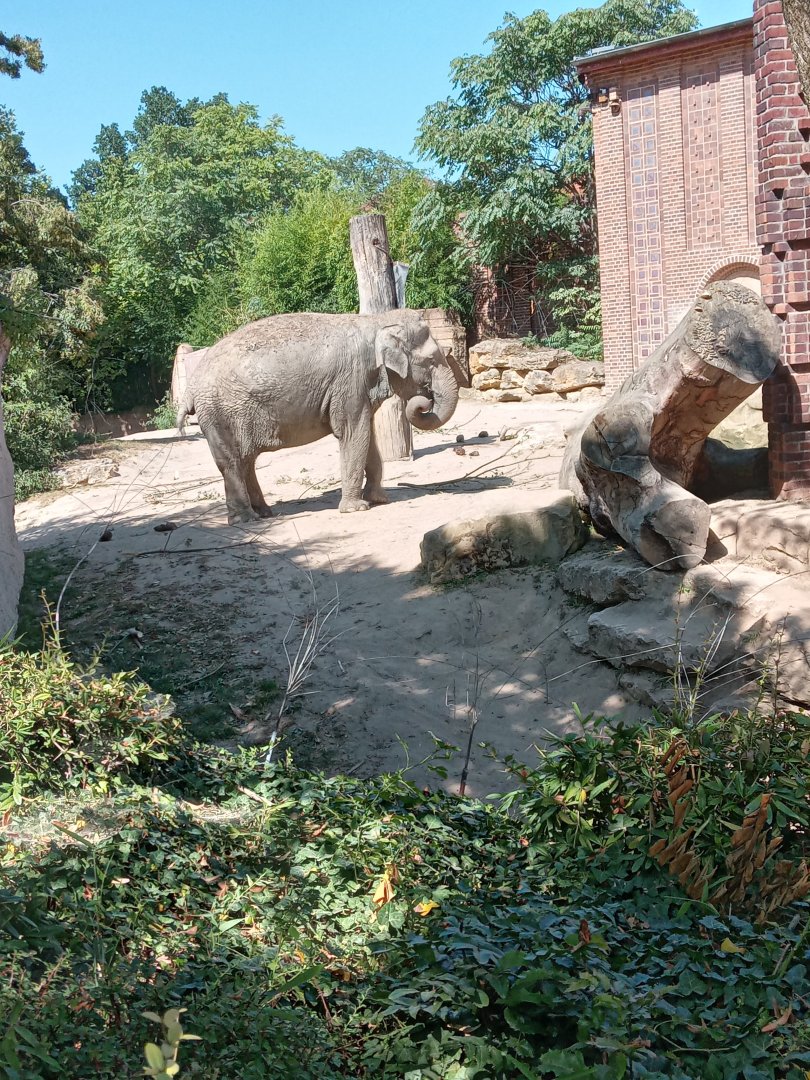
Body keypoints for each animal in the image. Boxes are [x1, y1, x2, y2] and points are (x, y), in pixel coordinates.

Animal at [177, 310, 465, 524]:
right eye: (431, 361)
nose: (425, 401)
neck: (376, 321)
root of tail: (190, 387)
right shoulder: (350, 382)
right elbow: (353, 434)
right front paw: (356, 509)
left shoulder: (358, 388)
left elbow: (367, 437)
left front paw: (379, 500)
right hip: (219, 415)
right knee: (232, 462)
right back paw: (246, 519)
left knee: (246, 460)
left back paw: (265, 513)